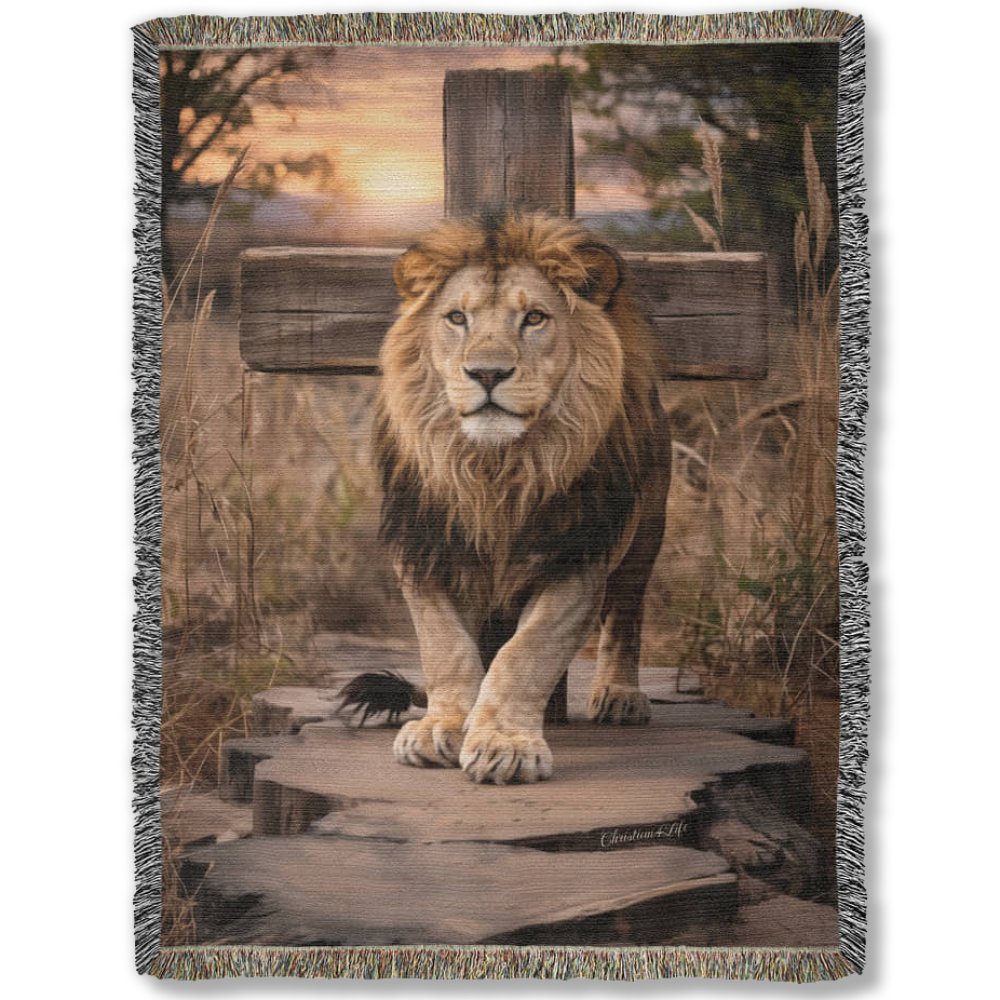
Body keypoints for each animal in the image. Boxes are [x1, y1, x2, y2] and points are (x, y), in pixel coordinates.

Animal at [364, 210, 672, 785]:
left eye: (534, 318)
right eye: (456, 318)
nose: (487, 372)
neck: (495, 471)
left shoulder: (576, 558)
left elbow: (525, 654)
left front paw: (504, 743)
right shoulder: (424, 549)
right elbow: (446, 648)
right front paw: (442, 725)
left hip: (646, 533)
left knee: (626, 613)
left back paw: (619, 693)